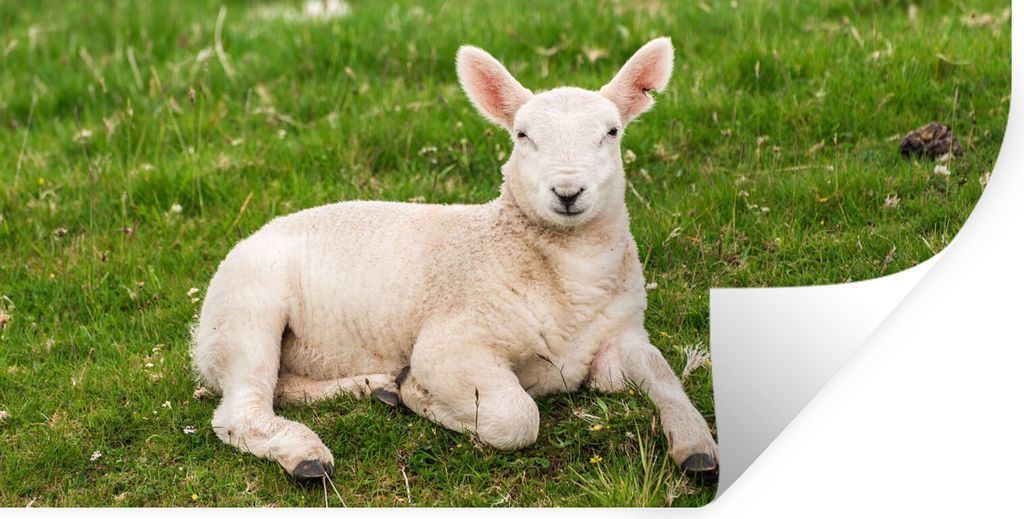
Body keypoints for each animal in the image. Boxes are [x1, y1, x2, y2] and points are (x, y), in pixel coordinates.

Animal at [191, 37, 719, 484]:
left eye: (612, 132)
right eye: (522, 136)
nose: (568, 193)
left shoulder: (624, 335)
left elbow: (659, 373)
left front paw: (697, 447)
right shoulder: (452, 341)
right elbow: (517, 417)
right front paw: (419, 395)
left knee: (281, 386)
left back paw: (372, 386)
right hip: (245, 311)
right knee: (241, 410)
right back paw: (306, 455)